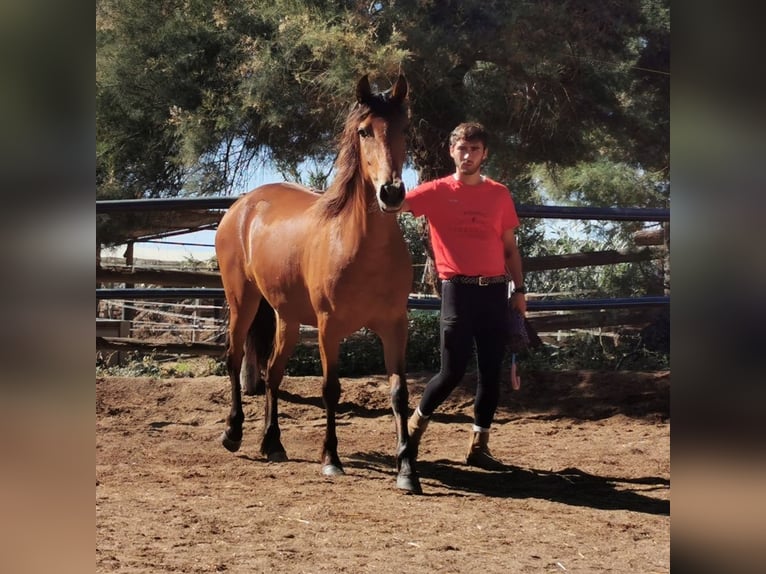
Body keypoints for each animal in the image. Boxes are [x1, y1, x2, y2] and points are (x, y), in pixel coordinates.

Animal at [213, 72, 424, 496]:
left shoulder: (395, 327)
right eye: (364, 131)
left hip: (287, 318)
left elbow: (399, 393)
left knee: (273, 371)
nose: (391, 192)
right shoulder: (329, 327)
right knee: (234, 357)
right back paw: (233, 433)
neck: (362, 247)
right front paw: (331, 459)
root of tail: (242, 205)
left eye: (404, 129)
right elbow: (331, 389)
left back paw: (272, 443)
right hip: (243, 301)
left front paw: (407, 470)